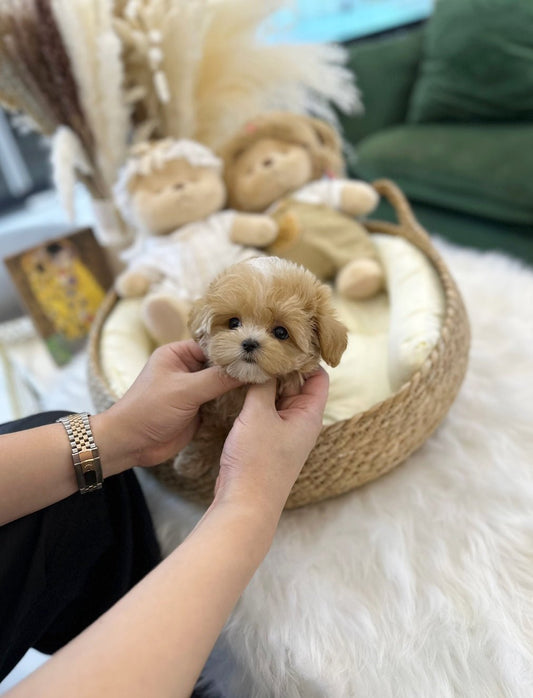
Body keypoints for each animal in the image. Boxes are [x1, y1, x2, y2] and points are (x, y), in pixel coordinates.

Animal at [175, 256, 348, 478]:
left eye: (281, 332)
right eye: (233, 323)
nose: (249, 343)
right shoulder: (213, 409)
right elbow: (209, 429)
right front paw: (191, 461)